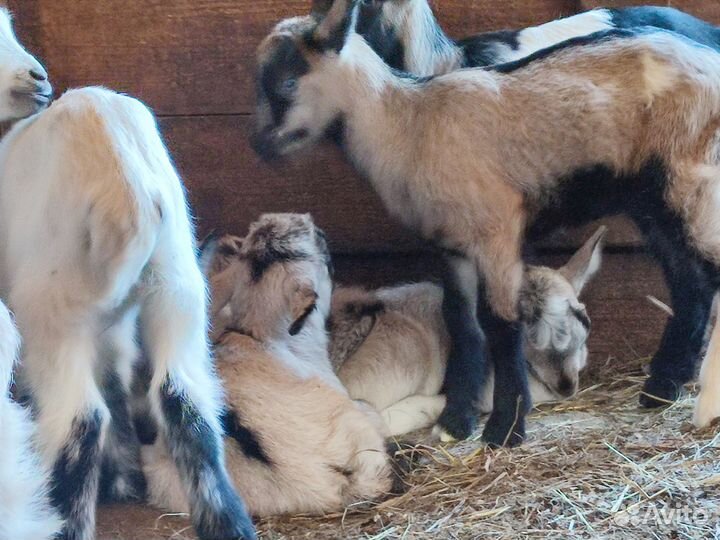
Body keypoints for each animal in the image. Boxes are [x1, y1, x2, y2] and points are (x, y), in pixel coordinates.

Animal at [0, 87, 255, 540]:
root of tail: (124, 191)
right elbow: (117, 381)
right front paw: (124, 476)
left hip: (52, 307)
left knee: (80, 419)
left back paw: (65, 522)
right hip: (178, 290)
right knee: (184, 400)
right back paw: (229, 525)